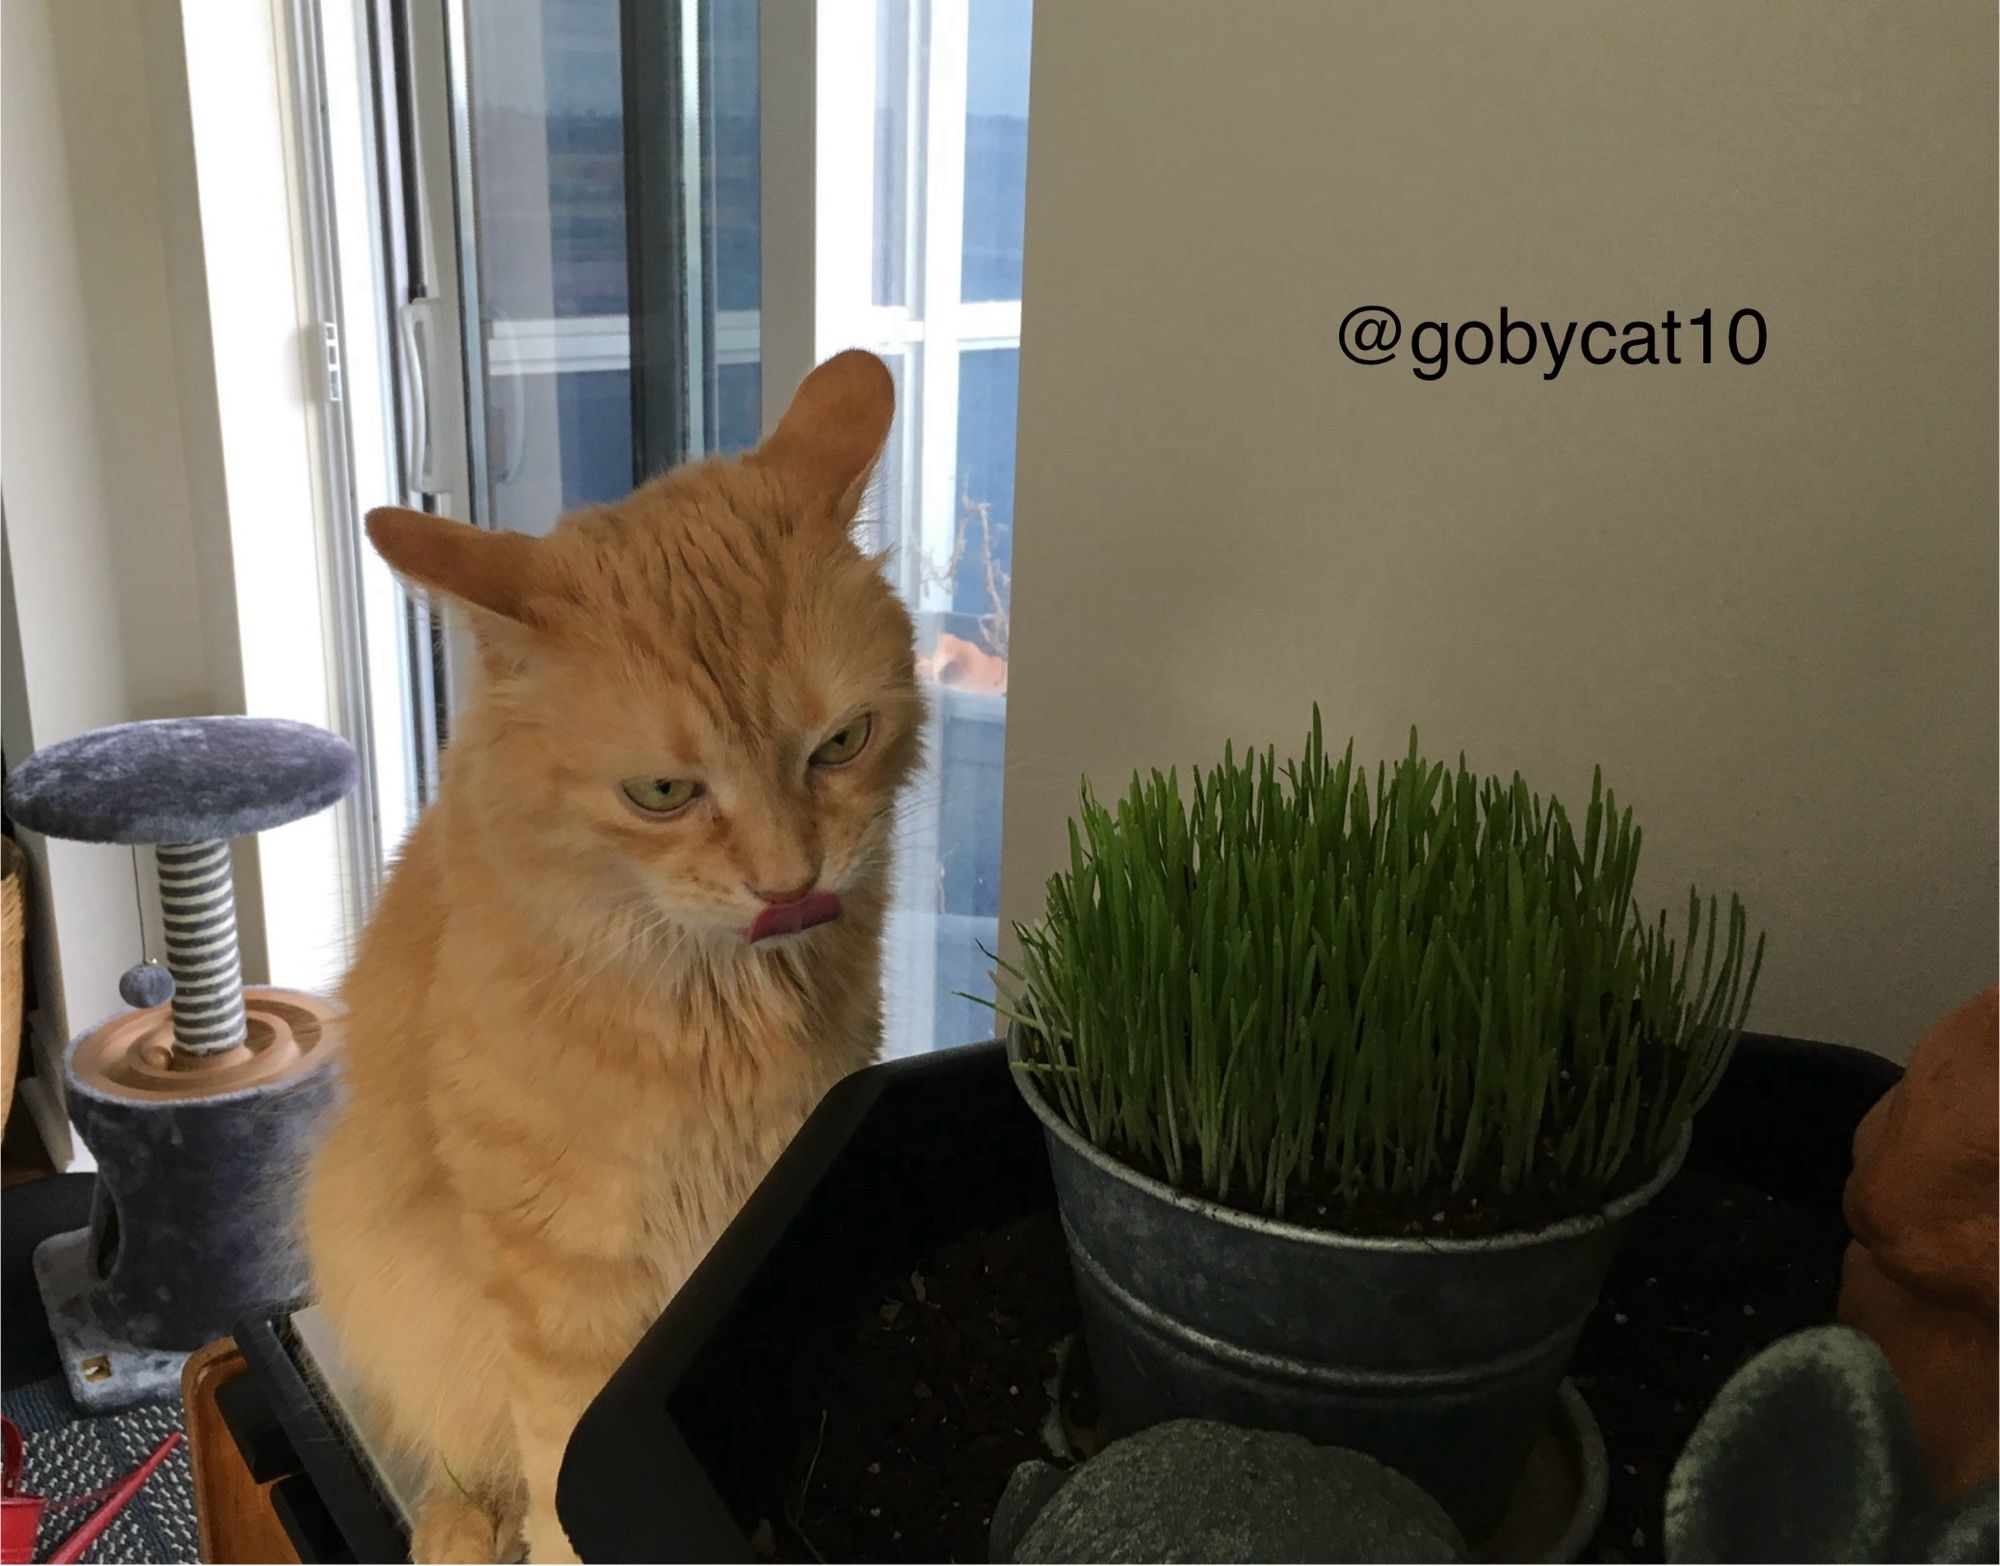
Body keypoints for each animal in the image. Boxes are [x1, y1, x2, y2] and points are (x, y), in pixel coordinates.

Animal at [302, 356, 920, 1566]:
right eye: (663, 793)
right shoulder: (565, 1283)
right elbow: (558, 1467)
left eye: (840, 744)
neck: (718, 1016)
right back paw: (459, 1526)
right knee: (460, 1450)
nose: (788, 879)